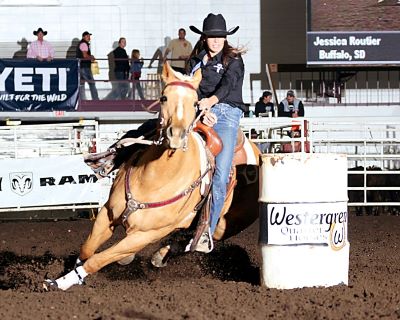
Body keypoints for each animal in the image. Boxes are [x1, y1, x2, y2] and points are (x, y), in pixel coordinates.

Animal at [43, 62, 260, 290]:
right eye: (164, 97)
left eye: (194, 103)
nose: (176, 135)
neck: (155, 178)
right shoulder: (107, 213)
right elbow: (87, 249)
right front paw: (66, 274)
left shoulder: (145, 235)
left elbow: (98, 259)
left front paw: (62, 283)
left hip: (222, 227)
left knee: (191, 242)